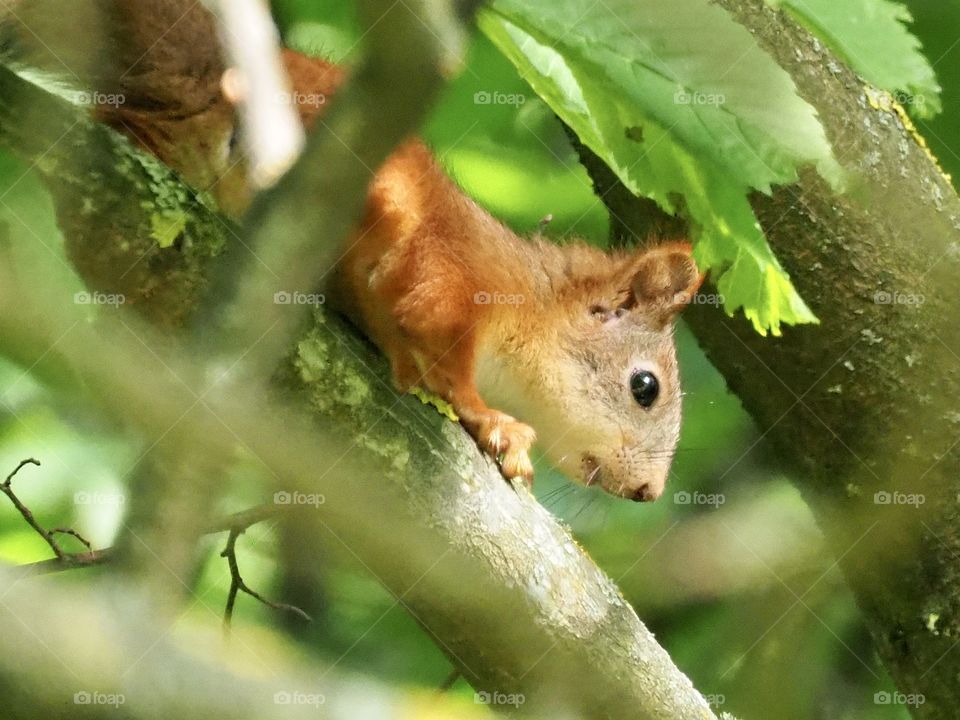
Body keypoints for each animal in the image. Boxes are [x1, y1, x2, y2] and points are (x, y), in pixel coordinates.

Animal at [1, 2, 702, 501]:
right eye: (645, 388)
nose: (647, 492)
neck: (532, 308)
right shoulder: (461, 275)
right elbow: (441, 348)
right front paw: (493, 422)